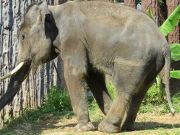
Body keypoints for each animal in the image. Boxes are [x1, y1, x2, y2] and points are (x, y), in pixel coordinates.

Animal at [0, 0, 174, 133]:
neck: (53, 9)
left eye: (23, 36)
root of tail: (164, 44)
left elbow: (74, 74)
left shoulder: (73, 40)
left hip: (135, 59)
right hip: (152, 63)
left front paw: (82, 129)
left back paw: (107, 128)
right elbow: (93, 77)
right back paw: (126, 127)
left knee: (125, 89)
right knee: (141, 90)